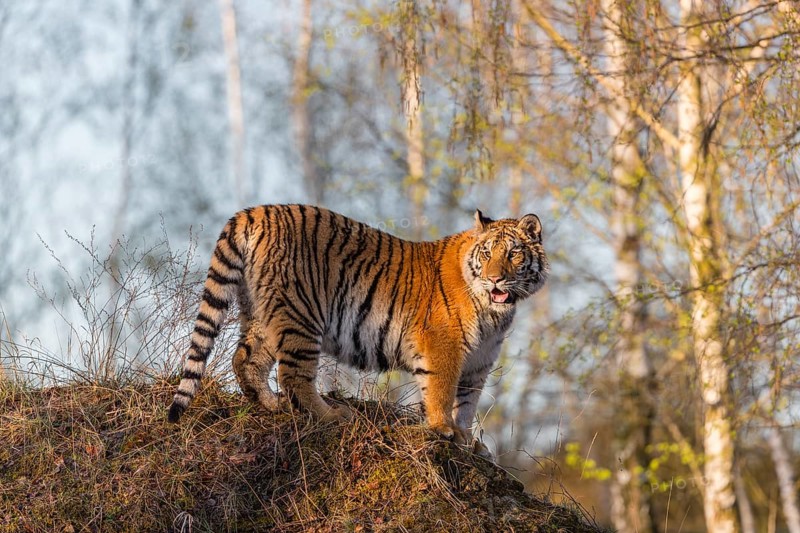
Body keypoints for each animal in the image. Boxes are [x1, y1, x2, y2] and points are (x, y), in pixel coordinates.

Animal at [167, 204, 548, 453]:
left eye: (513, 254)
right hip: (301, 315)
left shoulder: (479, 362)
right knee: (294, 376)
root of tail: (256, 211)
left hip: (262, 314)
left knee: (245, 360)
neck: (496, 311)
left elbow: (467, 403)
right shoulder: (444, 347)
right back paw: (333, 415)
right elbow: (441, 391)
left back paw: (270, 404)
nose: (495, 279)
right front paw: (444, 430)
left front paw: (468, 440)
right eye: (486, 254)